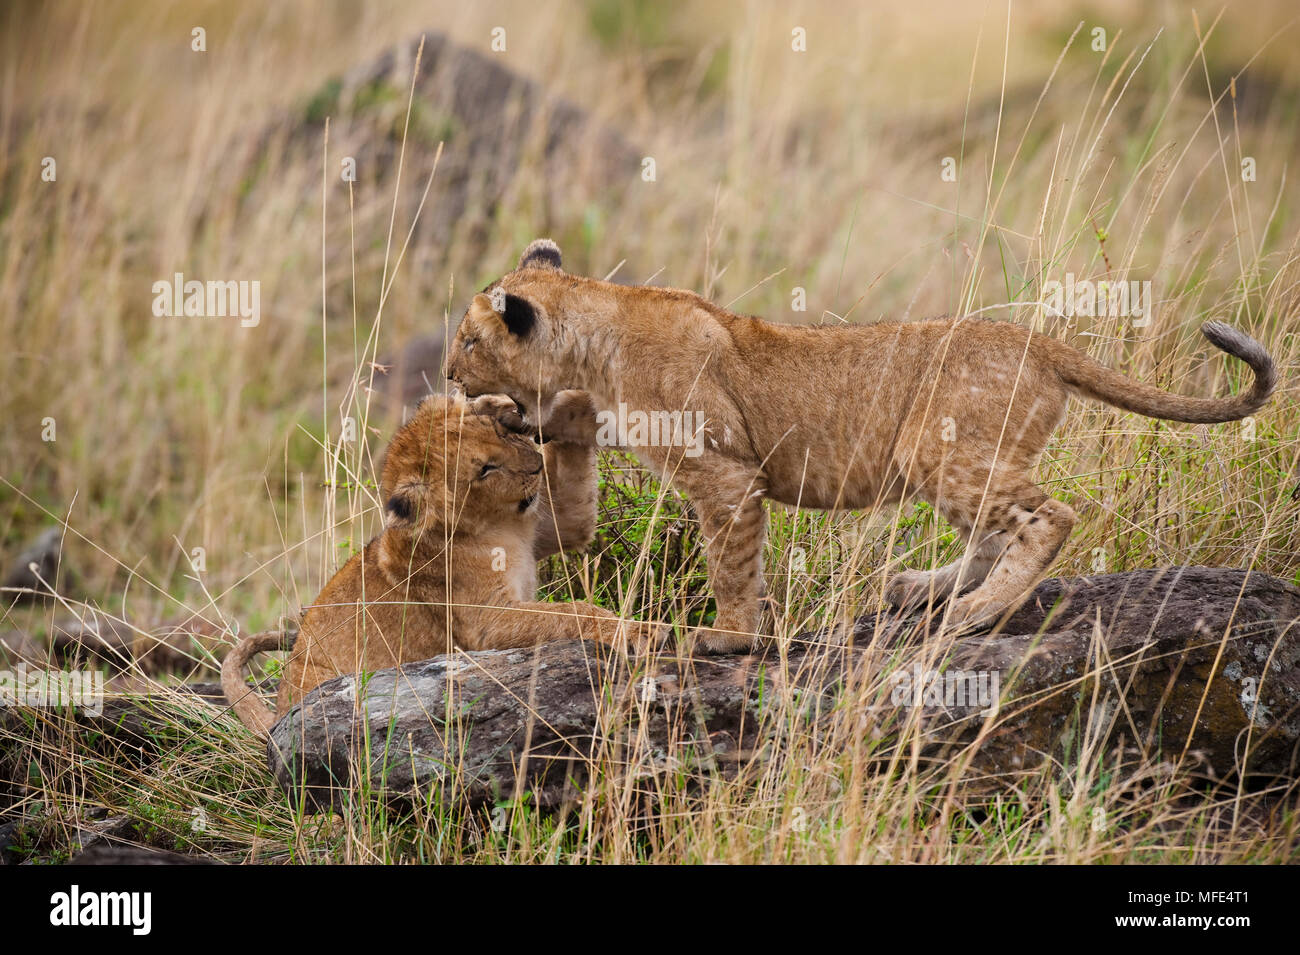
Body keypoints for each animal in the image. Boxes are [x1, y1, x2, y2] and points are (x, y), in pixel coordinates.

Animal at [221, 388, 656, 735]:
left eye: (500, 431)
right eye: (485, 469)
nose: (535, 464)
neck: (496, 527)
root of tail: (277, 719)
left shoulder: (553, 523)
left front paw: (574, 405)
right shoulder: (485, 622)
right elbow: (573, 612)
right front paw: (638, 633)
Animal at [444, 238, 1277, 653]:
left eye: (467, 340)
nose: (450, 373)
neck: (592, 337)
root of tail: (1039, 341)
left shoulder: (727, 477)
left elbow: (732, 568)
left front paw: (729, 637)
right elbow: (569, 424)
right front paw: (515, 416)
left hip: (935, 445)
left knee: (1051, 517)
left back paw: (972, 612)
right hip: (947, 457)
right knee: (991, 530)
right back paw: (922, 588)